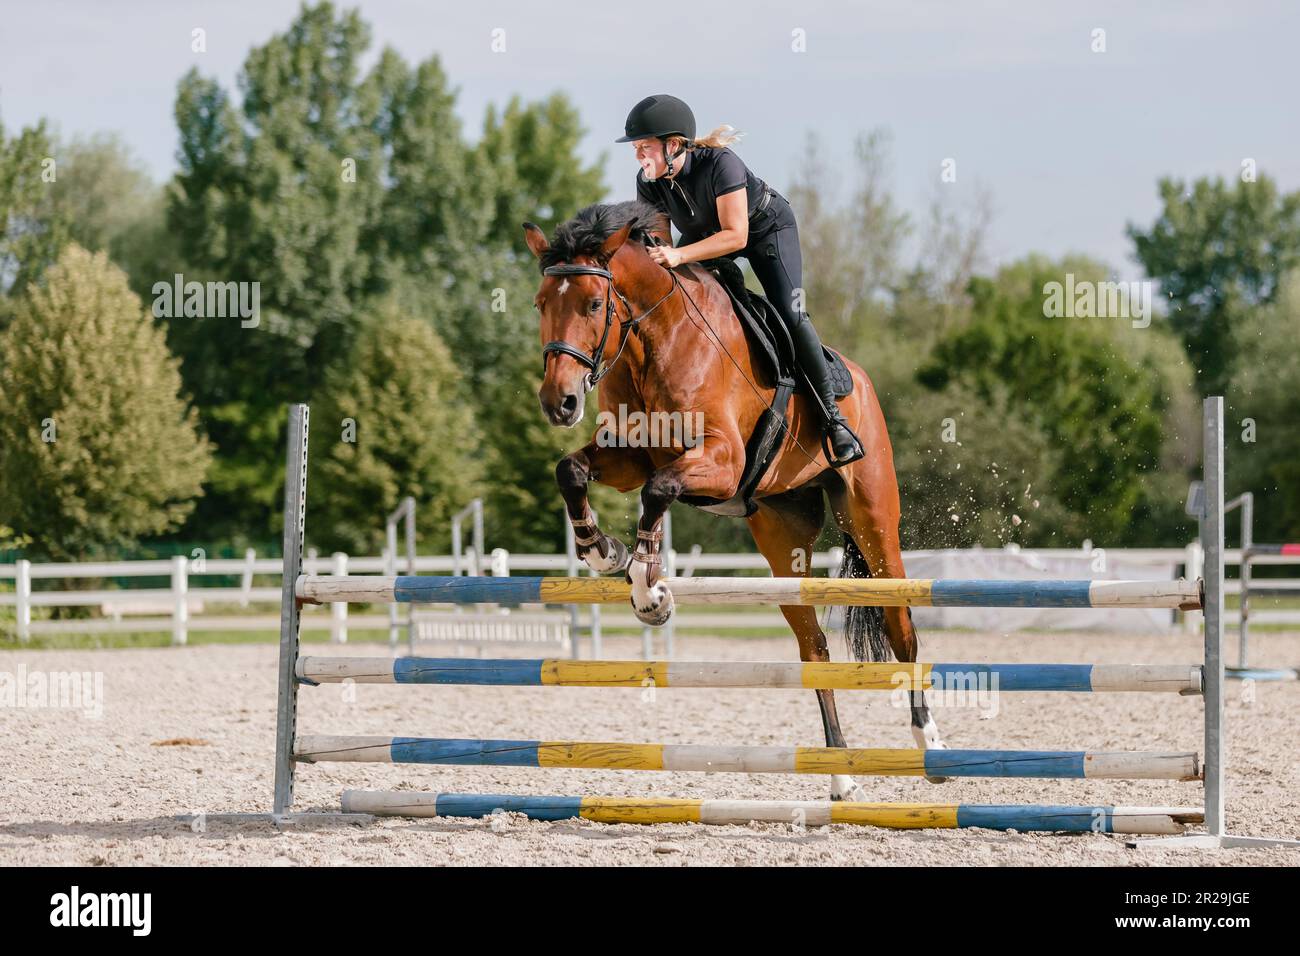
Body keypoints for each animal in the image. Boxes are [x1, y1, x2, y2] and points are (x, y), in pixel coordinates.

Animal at [522, 204, 951, 806]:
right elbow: (573, 470)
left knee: (901, 625)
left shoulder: (720, 461)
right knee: (815, 649)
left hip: (873, 521)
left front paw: (649, 591)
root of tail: (862, 381)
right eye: (541, 304)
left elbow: (658, 492)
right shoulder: (631, 454)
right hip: (781, 542)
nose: (557, 403)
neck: (654, 340)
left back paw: (929, 743)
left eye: (593, 304)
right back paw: (839, 773)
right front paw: (602, 550)